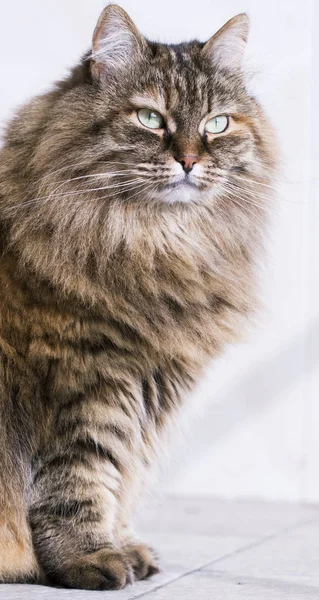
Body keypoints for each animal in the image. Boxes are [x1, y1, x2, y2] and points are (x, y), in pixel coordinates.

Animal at [0, 3, 276, 592]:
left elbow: (125, 472)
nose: (190, 159)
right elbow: (83, 478)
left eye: (217, 123)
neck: (155, 244)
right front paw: (90, 560)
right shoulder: (88, 377)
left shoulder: (151, 385)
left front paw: (126, 546)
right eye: (150, 118)